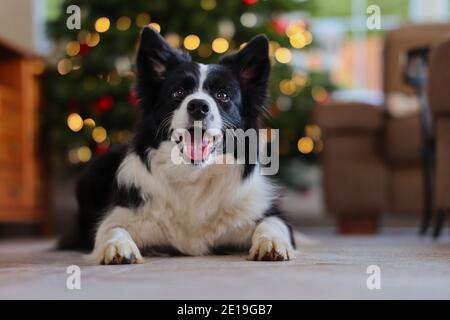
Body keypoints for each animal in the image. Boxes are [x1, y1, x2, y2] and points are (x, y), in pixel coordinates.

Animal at [69, 26, 296, 264]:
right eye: (178, 92)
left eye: (222, 95)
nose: (198, 106)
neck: (192, 177)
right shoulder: (120, 214)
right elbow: (111, 228)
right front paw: (117, 247)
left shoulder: (265, 213)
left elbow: (272, 224)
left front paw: (271, 243)